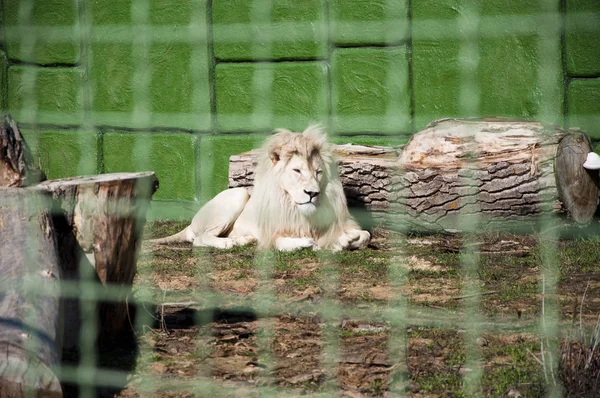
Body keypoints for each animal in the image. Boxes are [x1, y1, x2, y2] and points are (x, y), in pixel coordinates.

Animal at [150, 125, 370, 252]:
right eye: (297, 170)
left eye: (318, 172)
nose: (312, 193)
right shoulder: (271, 232)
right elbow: (284, 241)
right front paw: (310, 243)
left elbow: (365, 236)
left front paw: (344, 241)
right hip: (238, 194)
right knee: (200, 239)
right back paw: (228, 243)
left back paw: (243, 240)